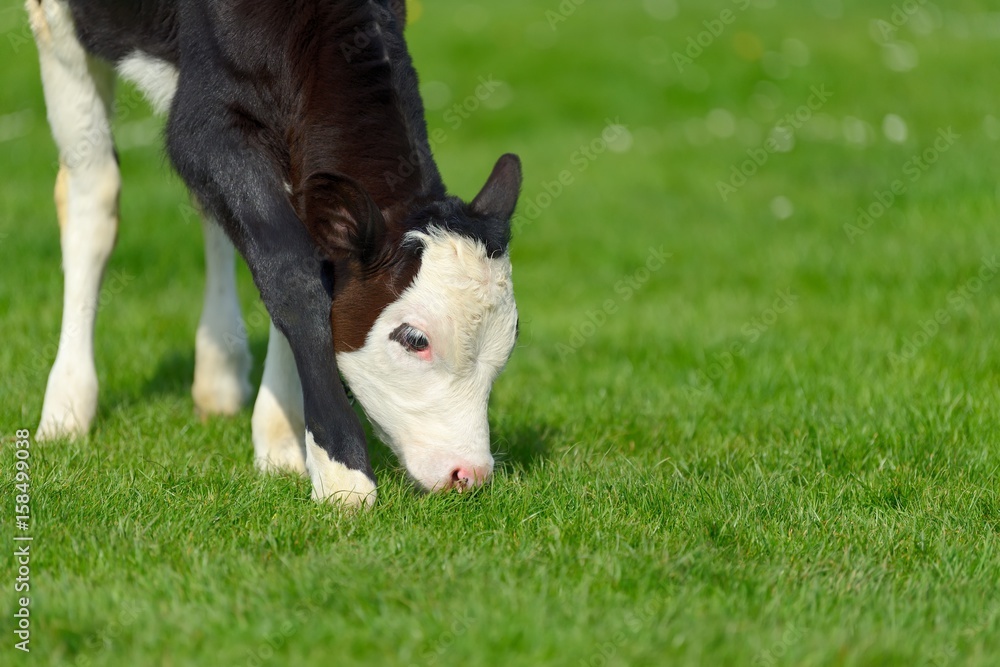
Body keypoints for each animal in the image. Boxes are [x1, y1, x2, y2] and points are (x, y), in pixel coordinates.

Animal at [25, 0, 524, 508]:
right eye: (414, 338)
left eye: (512, 338)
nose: (469, 473)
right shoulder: (204, 120)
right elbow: (290, 270)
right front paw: (340, 472)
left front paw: (280, 438)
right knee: (93, 194)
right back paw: (66, 408)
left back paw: (218, 375)